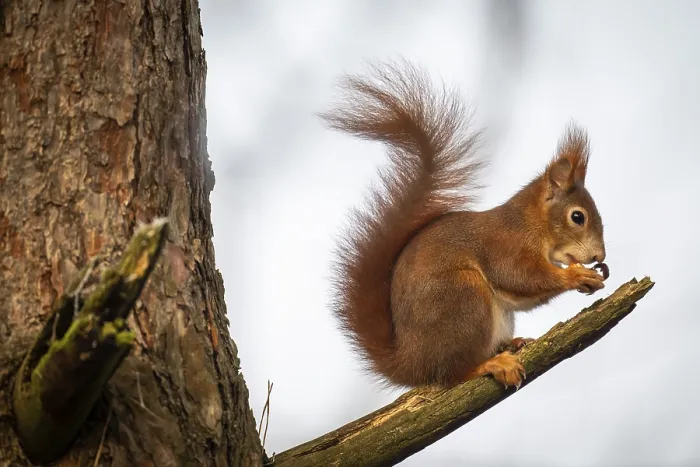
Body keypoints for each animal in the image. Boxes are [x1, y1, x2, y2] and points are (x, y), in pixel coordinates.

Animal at [321, 60, 608, 389]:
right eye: (578, 217)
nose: (600, 256)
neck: (531, 224)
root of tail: (412, 364)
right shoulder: (505, 245)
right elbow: (519, 276)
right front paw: (575, 275)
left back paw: (512, 344)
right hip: (463, 297)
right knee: (452, 374)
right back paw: (491, 364)